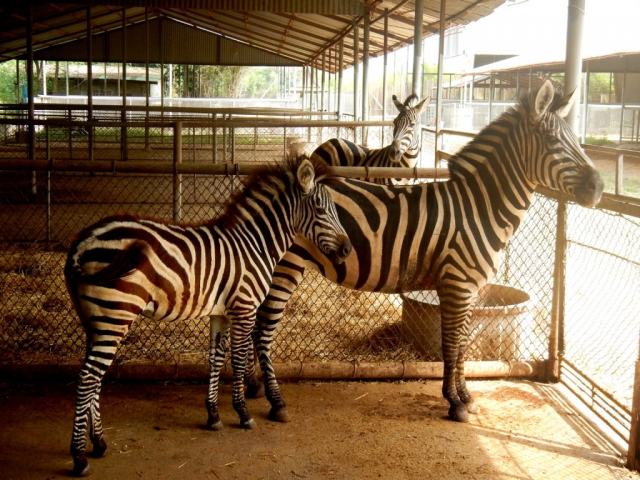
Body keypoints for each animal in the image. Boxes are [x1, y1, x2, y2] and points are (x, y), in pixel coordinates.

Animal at [64, 158, 352, 476]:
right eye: (322, 209)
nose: (348, 249)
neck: (255, 244)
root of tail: (84, 239)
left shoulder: (220, 312)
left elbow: (215, 358)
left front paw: (213, 415)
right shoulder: (244, 308)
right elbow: (237, 360)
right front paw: (243, 414)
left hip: (94, 321)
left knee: (94, 377)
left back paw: (100, 443)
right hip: (115, 314)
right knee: (88, 377)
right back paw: (80, 457)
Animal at [241, 80, 604, 426]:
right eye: (553, 141)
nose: (598, 188)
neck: (479, 208)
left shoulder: (472, 287)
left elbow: (463, 343)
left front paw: (466, 396)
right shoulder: (456, 283)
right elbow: (451, 343)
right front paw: (454, 402)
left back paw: (253, 386)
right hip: (286, 266)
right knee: (261, 329)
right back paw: (272, 400)